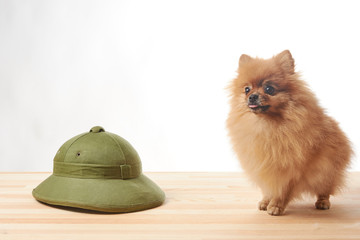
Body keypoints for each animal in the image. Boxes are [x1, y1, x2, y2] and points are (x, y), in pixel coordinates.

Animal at [228, 50, 352, 216]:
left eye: (269, 89)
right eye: (247, 89)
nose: (252, 96)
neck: (266, 125)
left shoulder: (290, 169)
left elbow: (282, 190)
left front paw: (276, 206)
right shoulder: (263, 166)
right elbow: (268, 188)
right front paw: (266, 201)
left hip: (327, 169)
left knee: (325, 189)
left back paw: (323, 202)